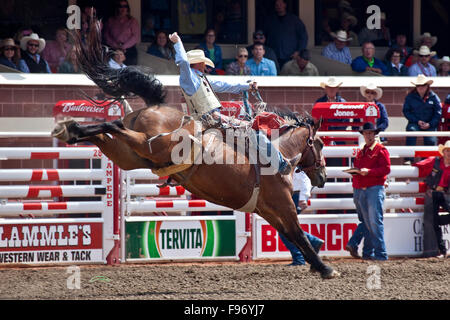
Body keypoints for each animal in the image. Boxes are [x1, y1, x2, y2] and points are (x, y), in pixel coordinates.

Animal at [52, 21, 340, 280]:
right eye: (321, 144)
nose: (323, 177)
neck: (280, 152)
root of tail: (154, 107)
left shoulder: (267, 210)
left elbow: (292, 236)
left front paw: (317, 264)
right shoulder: (283, 204)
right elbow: (298, 233)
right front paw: (325, 268)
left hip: (128, 156)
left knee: (106, 134)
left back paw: (71, 129)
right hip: (146, 144)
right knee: (114, 125)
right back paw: (73, 127)